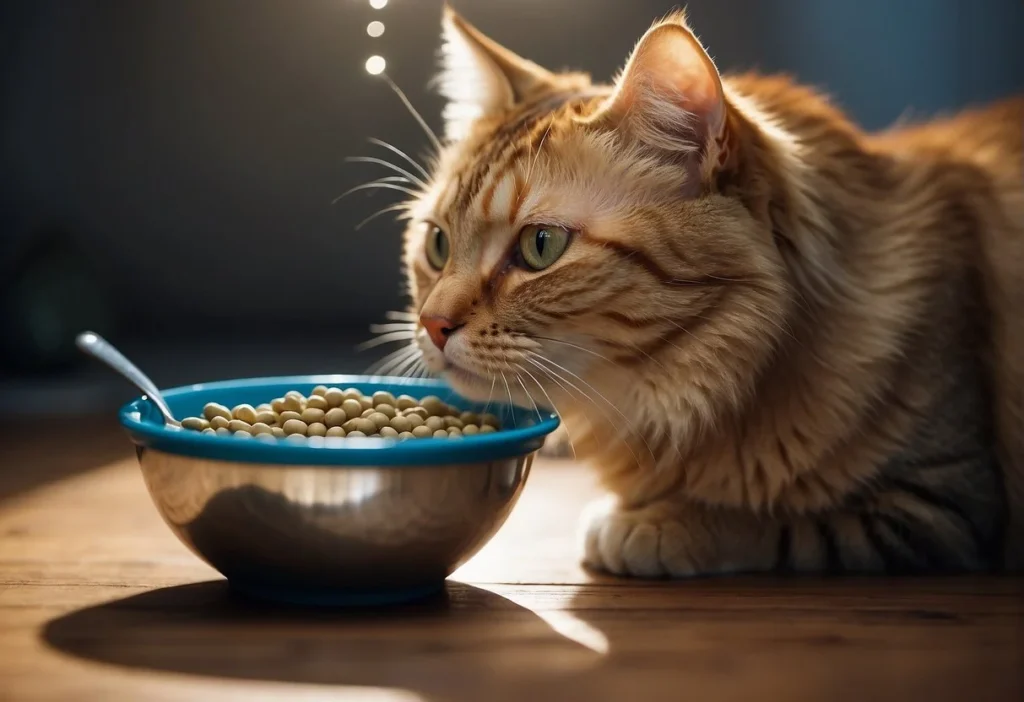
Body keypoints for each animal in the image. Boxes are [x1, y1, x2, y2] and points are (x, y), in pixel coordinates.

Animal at [395, 5, 1019, 577]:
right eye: (438, 244)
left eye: (540, 246)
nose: (433, 324)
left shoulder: (946, 504)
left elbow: (774, 526)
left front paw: (655, 526)